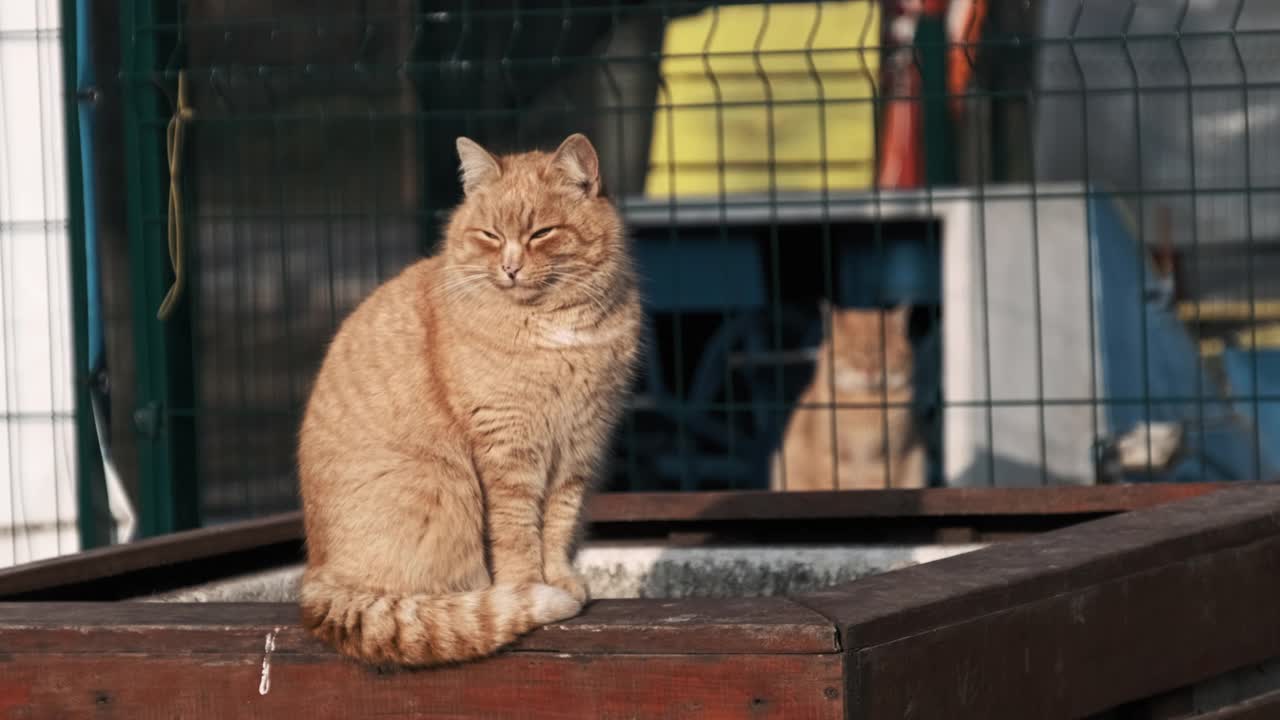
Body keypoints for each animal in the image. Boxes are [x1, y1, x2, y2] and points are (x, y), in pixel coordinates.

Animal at [296, 131, 640, 666]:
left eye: (542, 233)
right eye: (490, 236)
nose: (511, 267)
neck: (552, 328)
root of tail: (318, 580)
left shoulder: (577, 451)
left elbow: (558, 527)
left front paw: (560, 579)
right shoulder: (508, 450)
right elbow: (517, 533)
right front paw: (528, 587)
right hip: (442, 485)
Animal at [762, 299, 926, 489]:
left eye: (883, 354)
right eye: (853, 355)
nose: (869, 372)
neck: (864, 406)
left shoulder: (884, 459)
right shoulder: (831, 459)